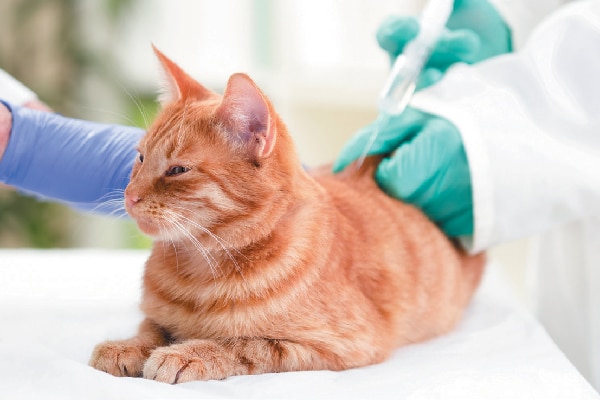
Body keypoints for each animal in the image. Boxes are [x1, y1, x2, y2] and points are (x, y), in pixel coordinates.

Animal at [88, 48, 482, 382]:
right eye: (140, 158)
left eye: (177, 170)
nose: (130, 196)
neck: (198, 270)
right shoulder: (156, 315)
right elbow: (151, 326)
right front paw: (128, 345)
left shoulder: (341, 344)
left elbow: (244, 344)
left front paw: (188, 352)